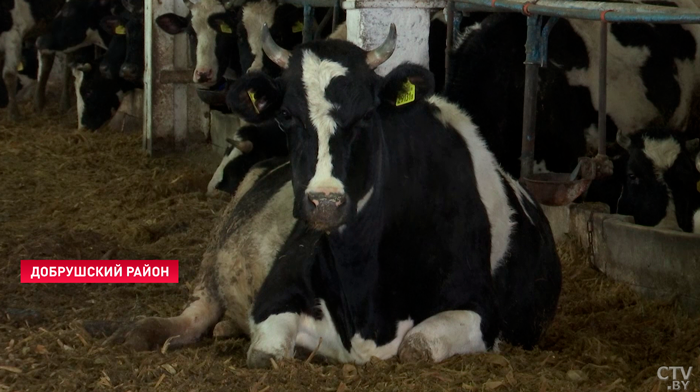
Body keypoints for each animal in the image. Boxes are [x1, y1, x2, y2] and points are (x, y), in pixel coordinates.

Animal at [105, 26, 564, 366]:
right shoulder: (275, 293)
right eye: (286, 115)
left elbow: (416, 347)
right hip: (216, 249)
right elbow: (266, 353)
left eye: (366, 115)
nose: (324, 202)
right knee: (197, 309)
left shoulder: (481, 312)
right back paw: (148, 330)